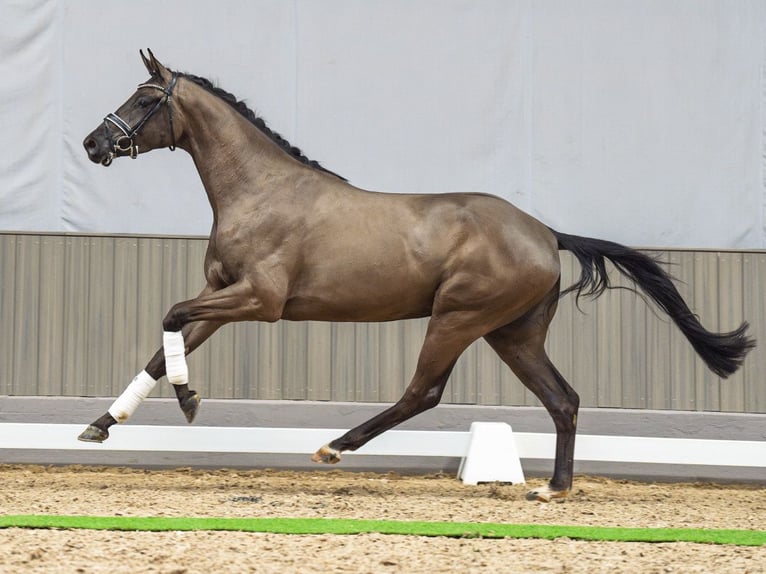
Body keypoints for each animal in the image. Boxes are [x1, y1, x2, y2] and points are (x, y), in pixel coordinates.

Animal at [79, 53, 756, 504]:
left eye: (144, 98)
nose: (92, 144)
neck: (259, 191)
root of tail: (545, 233)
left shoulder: (258, 300)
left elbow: (170, 318)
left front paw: (189, 400)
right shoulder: (220, 296)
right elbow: (164, 346)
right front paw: (102, 425)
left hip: (459, 318)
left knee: (422, 392)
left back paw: (334, 447)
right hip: (513, 334)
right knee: (563, 398)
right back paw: (554, 489)